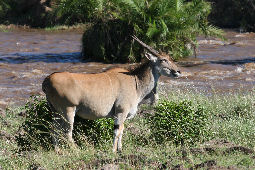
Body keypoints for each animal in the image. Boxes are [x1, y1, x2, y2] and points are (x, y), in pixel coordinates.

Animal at [42, 35, 181, 151]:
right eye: (163, 60)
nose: (178, 71)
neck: (135, 81)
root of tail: (47, 80)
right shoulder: (121, 111)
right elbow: (117, 131)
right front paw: (114, 150)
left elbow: (122, 130)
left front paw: (120, 149)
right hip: (68, 110)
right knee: (67, 133)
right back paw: (77, 151)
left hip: (56, 112)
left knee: (53, 129)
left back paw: (57, 151)